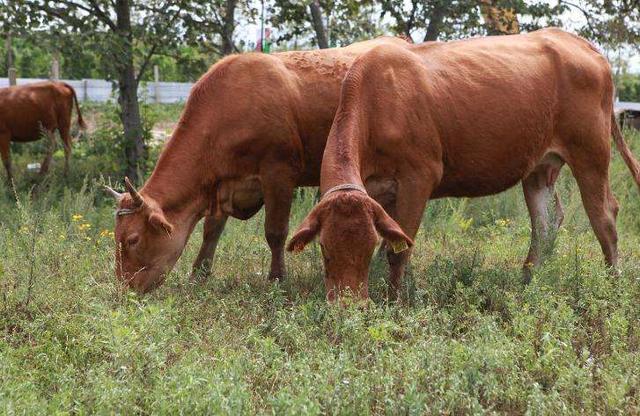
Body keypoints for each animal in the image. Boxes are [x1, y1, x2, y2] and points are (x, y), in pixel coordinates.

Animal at [102, 37, 408, 294]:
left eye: (132, 239)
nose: (124, 290)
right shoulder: (223, 184)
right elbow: (211, 231)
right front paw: (198, 275)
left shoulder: (278, 172)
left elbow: (275, 232)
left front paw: (276, 280)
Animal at [288, 28, 640, 302]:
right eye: (325, 250)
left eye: (363, 248)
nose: (348, 306)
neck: (378, 100)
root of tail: (574, 40)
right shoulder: (379, 192)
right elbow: (393, 242)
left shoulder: (419, 176)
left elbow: (397, 251)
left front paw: (395, 301)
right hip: (540, 165)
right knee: (546, 222)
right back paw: (527, 283)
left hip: (590, 152)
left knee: (604, 216)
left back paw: (612, 283)